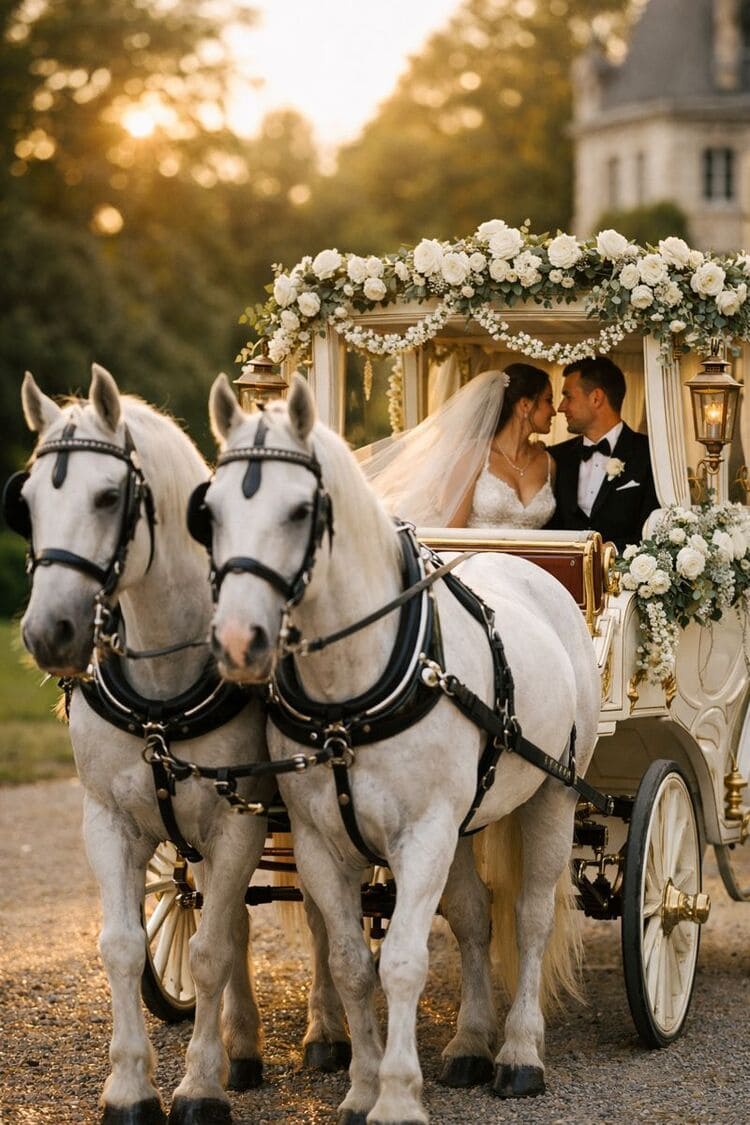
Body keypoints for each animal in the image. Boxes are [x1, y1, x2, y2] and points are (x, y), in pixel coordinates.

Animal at [7, 366, 349, 1125]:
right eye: (29, 501)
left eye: (109, 496)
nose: (49, 633)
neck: (165, 689)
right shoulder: (109, 820)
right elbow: (124, 947)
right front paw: (131, 1086)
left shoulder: (237, 822)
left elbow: (213, 951)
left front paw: (197, 1087)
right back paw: (244, 1047)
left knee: (315, 913)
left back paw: (324, 1033)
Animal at [200, 372, 602, 1124]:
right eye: (206, 510)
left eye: (301, 509)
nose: (238, 640)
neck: (352, 692)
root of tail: (530, 569)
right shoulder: (320, 842)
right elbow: (354, 964)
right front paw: (361, 1088)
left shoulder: (423, 832)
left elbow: (404, 962)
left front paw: (395, 1095)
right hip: (469, 818)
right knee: (475, 918)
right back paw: (471, 1043)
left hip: (555, 792)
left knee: (531, 916)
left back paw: (519, 1053)